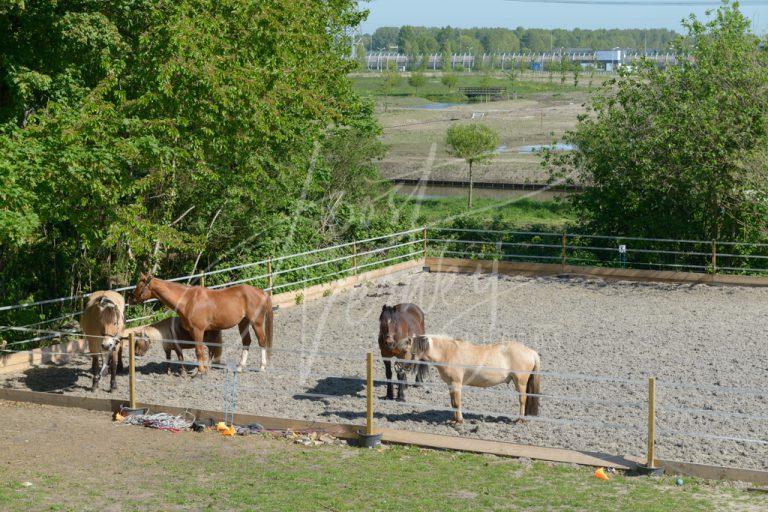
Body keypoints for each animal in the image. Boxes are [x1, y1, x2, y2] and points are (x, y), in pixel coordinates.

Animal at [132, 272, 272, 376]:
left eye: (140, 285)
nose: (131, 300)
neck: (188, 300)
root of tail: (261, 292)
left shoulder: (197, 330)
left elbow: (198, 351)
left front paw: (200, 371)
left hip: (257, 323)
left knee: (262, 340)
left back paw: (262, 367)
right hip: (243, 323)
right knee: (246, 342)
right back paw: (240, 367)